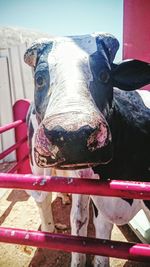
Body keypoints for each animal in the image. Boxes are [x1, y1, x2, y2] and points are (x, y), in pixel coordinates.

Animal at [24, 34, 150, 267]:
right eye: (39, 79)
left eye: (105, 75)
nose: (72, 135)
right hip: (37, 165)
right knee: (47, 201)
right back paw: (49, 228)